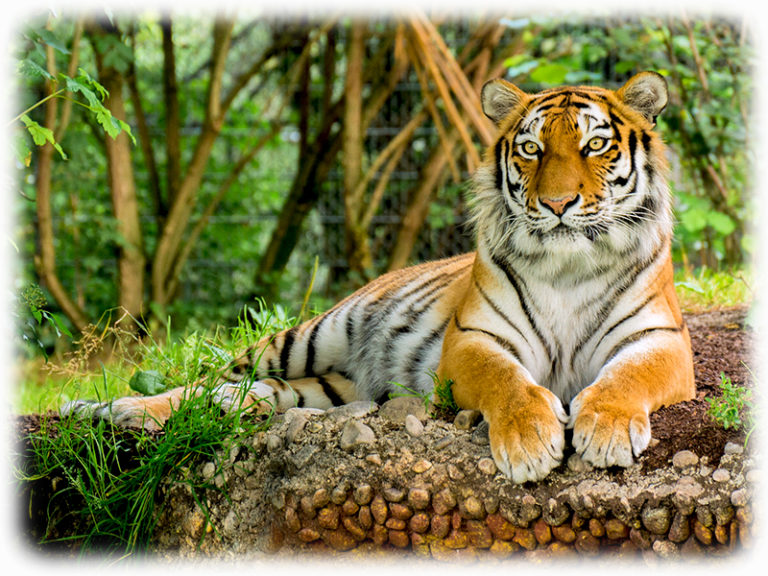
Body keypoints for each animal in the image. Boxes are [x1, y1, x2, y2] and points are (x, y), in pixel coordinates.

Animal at [63, 71, 695, 484]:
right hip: (305, 336)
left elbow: (625, 379)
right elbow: (508, 382)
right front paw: (531, 441)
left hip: (327, 387)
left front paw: (606, 429)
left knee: (248, 394)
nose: (558, 204)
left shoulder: (659, 341)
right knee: (204, 382)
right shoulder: (473, 340)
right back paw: (111, 410)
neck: (567, 266)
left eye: (595, 145)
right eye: (532, 150)